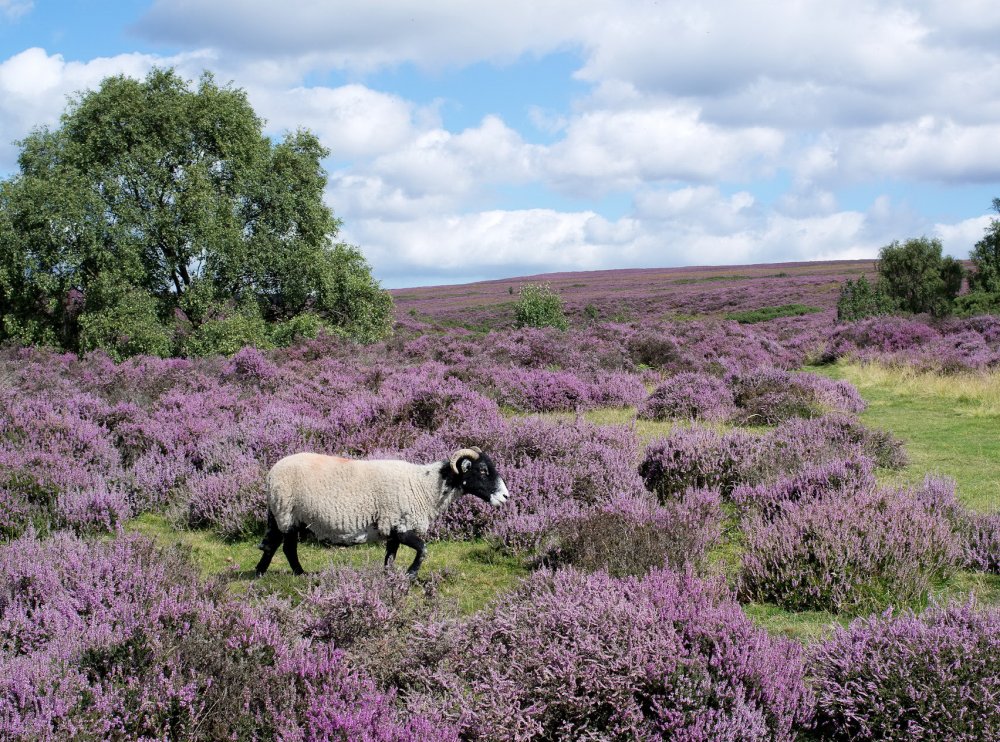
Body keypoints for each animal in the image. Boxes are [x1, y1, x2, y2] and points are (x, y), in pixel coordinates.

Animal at [254, 450, 512, 580]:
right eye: (482, 470)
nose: (505, 496)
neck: (425, 486)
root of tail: (271, 474)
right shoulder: (399, 524)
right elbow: (423, 549)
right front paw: (410, 575)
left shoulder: (391, 529)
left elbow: (390, 557)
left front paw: (390, 578)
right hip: (287, 513)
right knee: (286, 547)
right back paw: (297, 574)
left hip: (283, 514)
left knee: (276, 545)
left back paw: (262, 572)